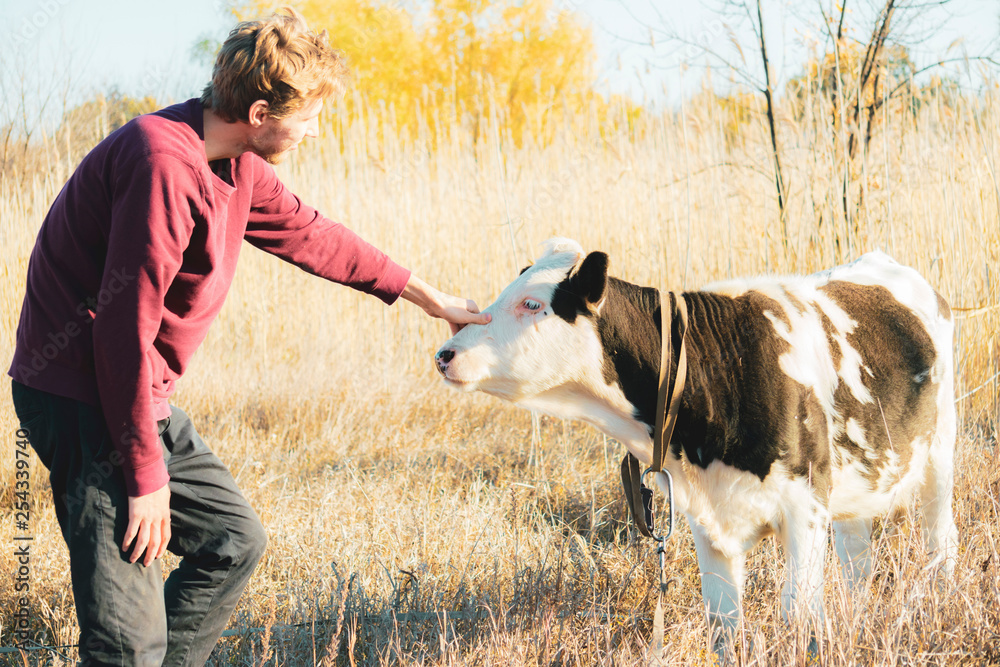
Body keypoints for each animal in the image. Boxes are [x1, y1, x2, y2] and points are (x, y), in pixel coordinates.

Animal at [434, 239, 956, 652]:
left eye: (532, 304)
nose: (444, 353)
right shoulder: (709, 522)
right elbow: (723, 625)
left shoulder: (805, 503)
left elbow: (799, 614)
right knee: (857, 560)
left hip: (940, 452)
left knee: (940, 540)